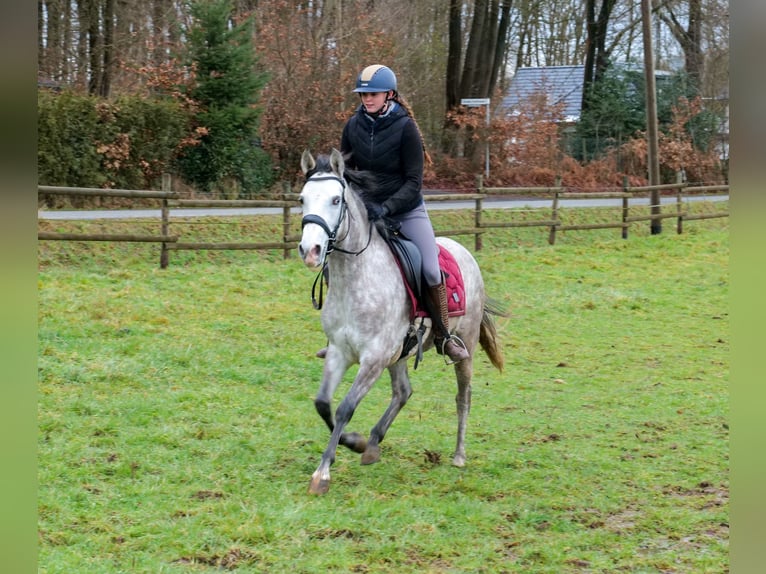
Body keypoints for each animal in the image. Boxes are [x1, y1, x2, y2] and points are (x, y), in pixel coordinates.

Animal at [300, 148, 510, 496]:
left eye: (335, 200)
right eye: (302, 199)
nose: (310, 250)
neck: (357, 279)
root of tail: (465, 252)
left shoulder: (373, 358)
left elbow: (344, 408)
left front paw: (323, 473)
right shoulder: (340, 352)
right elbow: (323, 404)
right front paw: (355, 442)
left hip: (462, 346)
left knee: (463, 396)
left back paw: (458, 455)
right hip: (400, 353)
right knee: (403, 392)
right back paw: (372, 444)